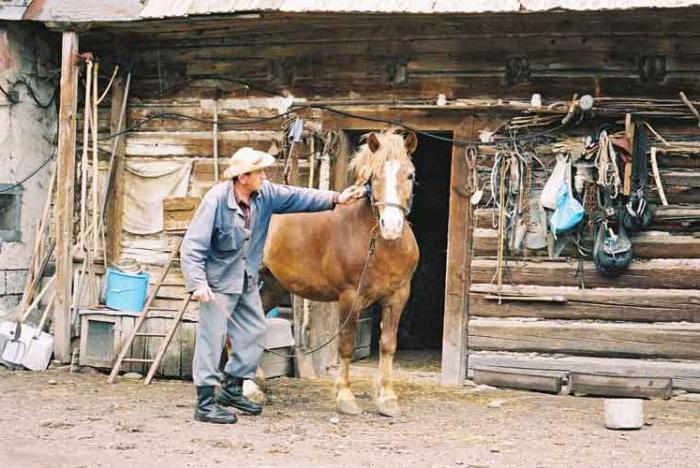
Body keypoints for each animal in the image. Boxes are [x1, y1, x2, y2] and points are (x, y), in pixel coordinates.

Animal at [262, 129, 416, 416]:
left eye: (410, 175)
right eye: (374, 176)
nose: (391, 226)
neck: (380, 244)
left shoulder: (398, 296)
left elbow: (388, 344)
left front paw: (387, 398)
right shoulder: (349, 297)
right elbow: (345, 346)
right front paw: (345, 397)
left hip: (271, 285)